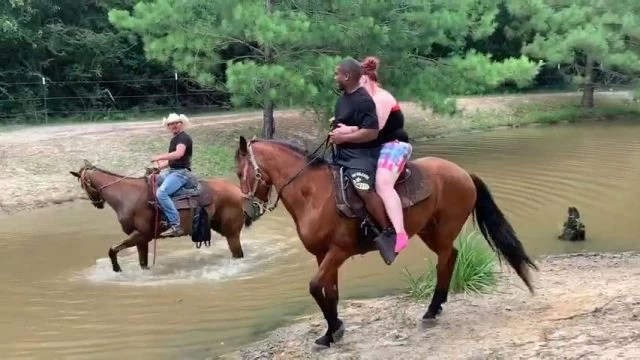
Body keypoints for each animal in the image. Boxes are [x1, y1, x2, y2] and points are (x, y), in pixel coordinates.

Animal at [69, 159, 251, 272]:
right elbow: (142, 263)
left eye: (82, 185)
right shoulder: (141, 240)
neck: (126, 195)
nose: (97, 204)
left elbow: (112, 250)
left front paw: (117, 269)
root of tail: (238, 190)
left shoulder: (140, 234)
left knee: (238, 254)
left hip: (232, 232)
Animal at [232, 136, 536, 348]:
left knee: (445, 262)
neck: (314, 194)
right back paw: (435, 308)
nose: (247, 211)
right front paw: (331, 332)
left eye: (239, 172)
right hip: (429, 231)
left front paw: (334, 330)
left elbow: (315, 286)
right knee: (451, 257)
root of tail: (463, 173)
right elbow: (330, 292)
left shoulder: (339, 251)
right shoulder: (322, 255)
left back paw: (431, 311)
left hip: (443, 231)